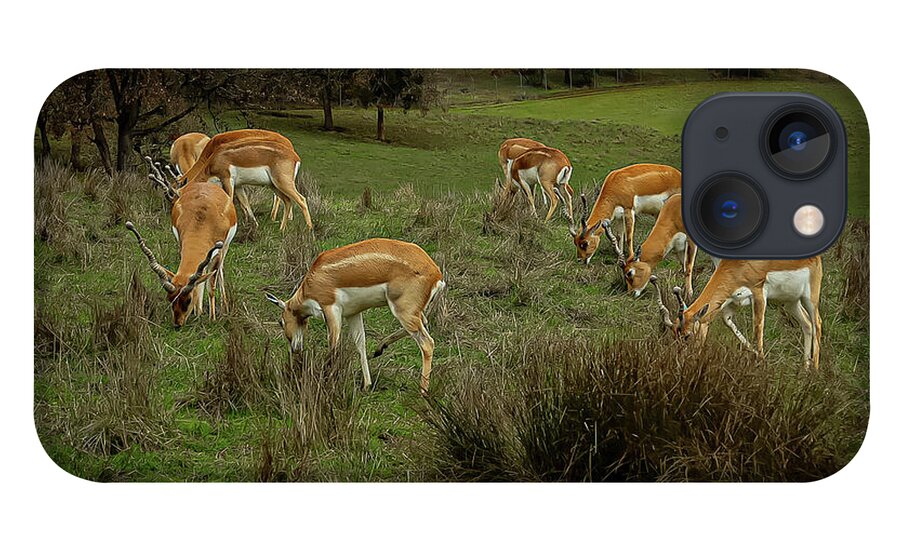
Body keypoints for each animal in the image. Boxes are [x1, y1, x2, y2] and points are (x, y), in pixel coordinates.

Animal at [126, 158, 237, 328]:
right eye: (170, 299)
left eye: (187, 300)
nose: (178, 324)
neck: (202, 220)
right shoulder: (182, 244)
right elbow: (198, 279)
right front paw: (198, 312)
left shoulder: (217, 252)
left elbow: (211, 285)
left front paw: (212, 318)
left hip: (225, 248)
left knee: (219, 271)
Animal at [179, 129, 312, 232]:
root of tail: (295, 157)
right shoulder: (238, 186)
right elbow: (245, 203)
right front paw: (254, 225)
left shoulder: (227, 179)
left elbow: (230, 201)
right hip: (274, 185)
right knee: (287, 201)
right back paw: (281, 229)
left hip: (283, 183)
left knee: (301, 199)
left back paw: (309, 230)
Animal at [264, 238, 446, 394]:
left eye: (280, 322)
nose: (295, 349)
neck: (312, 280)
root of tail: (436, 273)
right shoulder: (353, 313)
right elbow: (360, 344)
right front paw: (367, 385)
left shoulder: (331, 309)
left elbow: (334, 345)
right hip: (411, 312)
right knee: (423, 323)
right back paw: (379, 349)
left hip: (402, 311)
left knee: (427, 343)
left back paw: (423, 390)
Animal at [649, 256, 823, 369]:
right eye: (674, 335)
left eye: (687, 336)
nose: (681, 360)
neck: (739, 265)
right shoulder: (730, 302)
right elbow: (729, 323)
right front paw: (756, 355)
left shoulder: (759, 293)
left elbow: (757, 328)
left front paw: (761, 361)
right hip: (790, 302)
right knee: (807, 324)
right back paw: (805, 368)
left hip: (810, 298)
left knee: (817, 323)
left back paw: (814, 370)